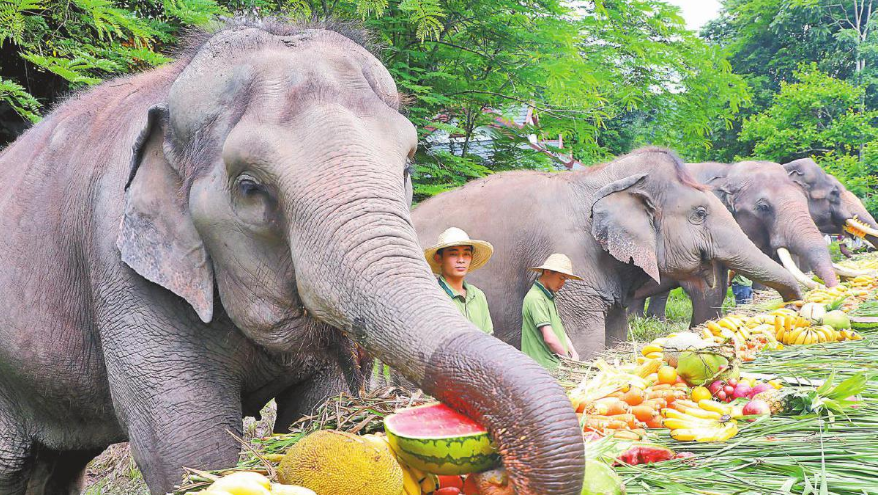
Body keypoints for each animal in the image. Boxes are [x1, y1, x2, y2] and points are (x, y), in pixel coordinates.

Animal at [0, 20, 584, 495]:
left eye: (407, 163)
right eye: (250, 187)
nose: (504, 465)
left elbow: (321, 412)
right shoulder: (122, 270)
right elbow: (187, 443)